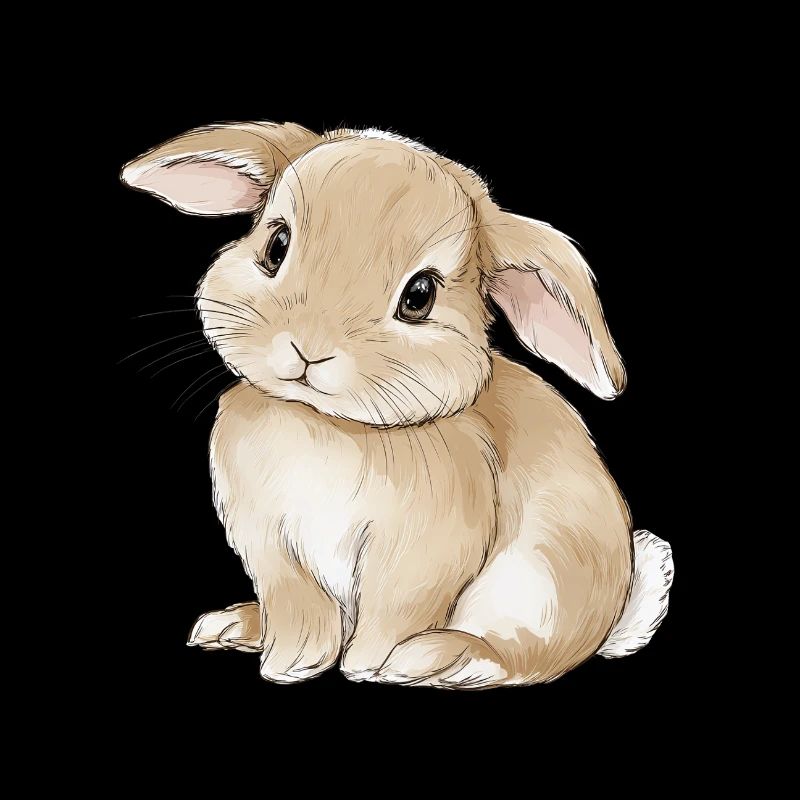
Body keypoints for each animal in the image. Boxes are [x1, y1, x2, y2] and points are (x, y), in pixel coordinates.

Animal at [121, 121, 673, 688]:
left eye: (419, 296)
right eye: (277, 245)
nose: (308, 347)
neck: (330, 424)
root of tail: (609, 620)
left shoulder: (424, 552)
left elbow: (395, 609)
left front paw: (367, 666)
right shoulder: (273, 547)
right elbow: (300, 605)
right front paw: (290, 663)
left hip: (537, 587)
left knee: (518, 659)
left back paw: (431, 657)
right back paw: (235, 626)